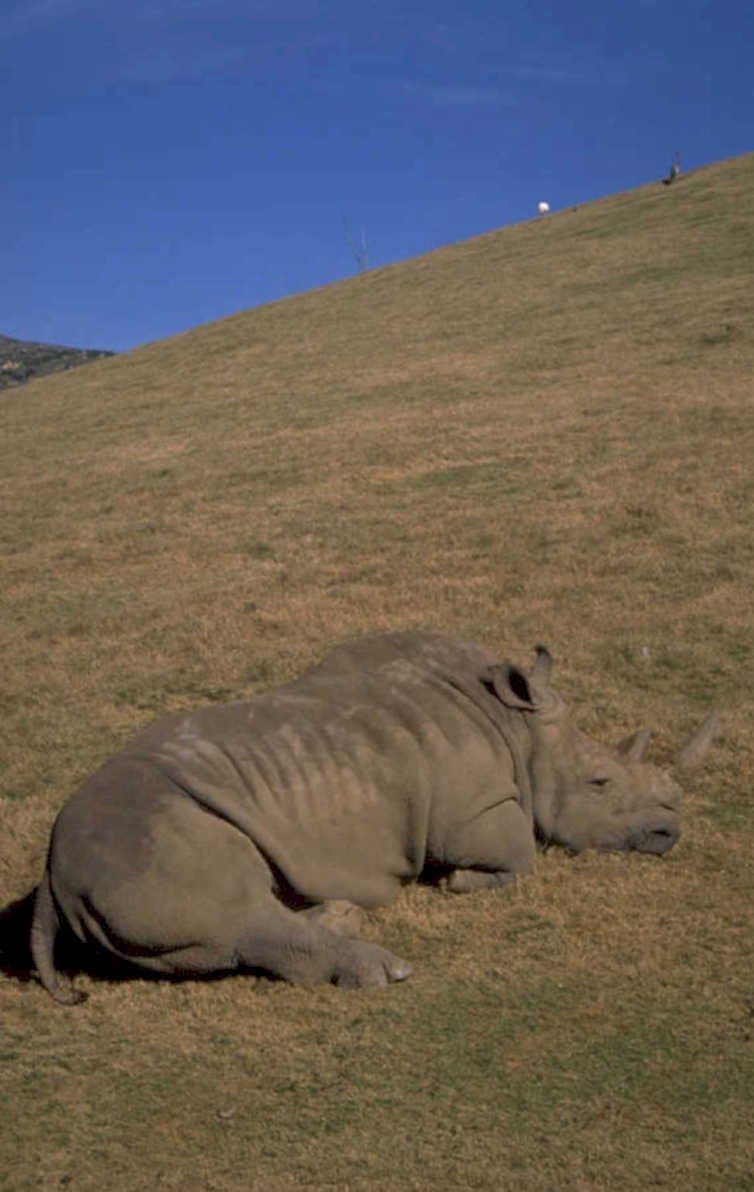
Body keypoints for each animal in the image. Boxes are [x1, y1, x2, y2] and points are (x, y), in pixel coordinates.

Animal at [31, 631, 716, 1003]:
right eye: (601, 783)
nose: (669, 832)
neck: (516, 727)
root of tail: (52, 872)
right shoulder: (474, 810)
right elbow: (520, 857)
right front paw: (459, 882)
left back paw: (341, 916)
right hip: (141, 841)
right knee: (235, 913)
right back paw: (384, 969)